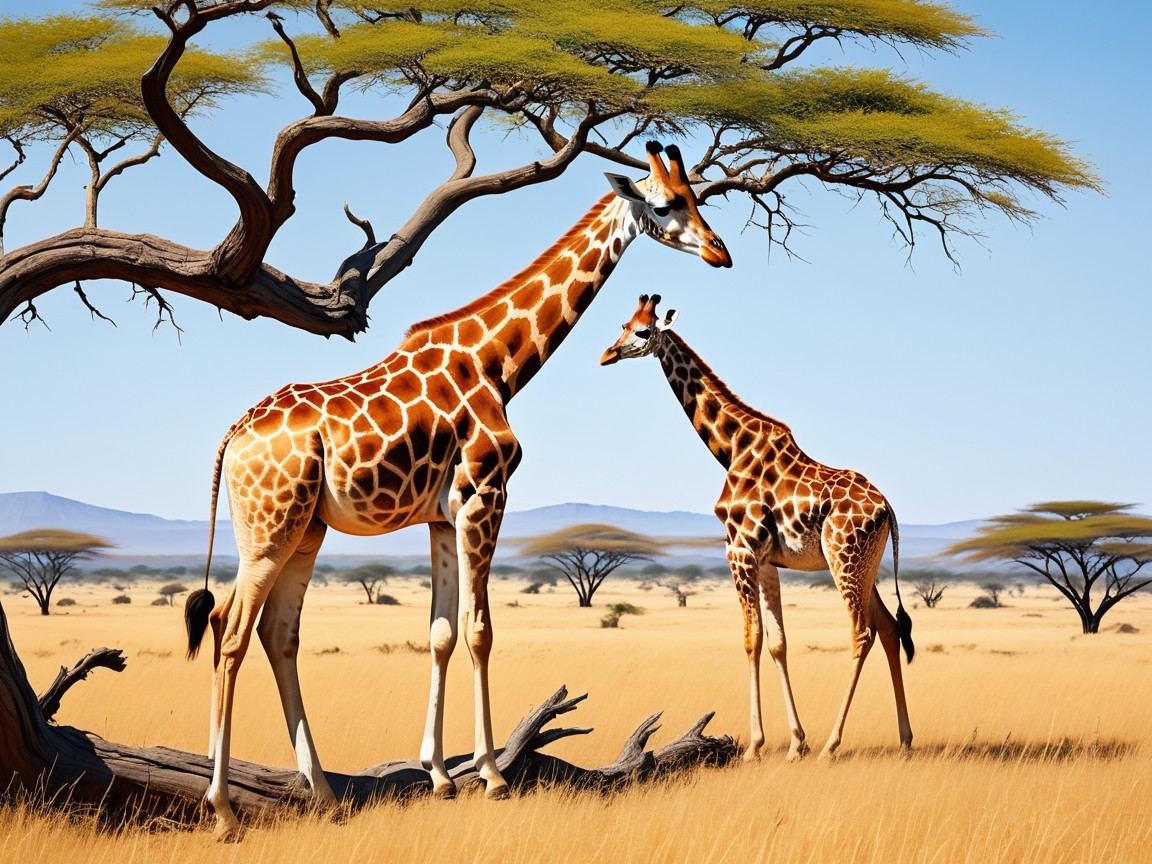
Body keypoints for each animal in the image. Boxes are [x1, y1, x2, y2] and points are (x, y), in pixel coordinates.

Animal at [183, 143, 731, 840]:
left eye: (699, 197)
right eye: (665, 204)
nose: (720, 251)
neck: (498, 362)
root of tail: (232, 435)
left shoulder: (444, 517)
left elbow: (441, 632)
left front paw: (441, 776)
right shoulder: (484, 494)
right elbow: (480, 630)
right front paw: (493, 776)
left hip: (304, 528)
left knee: (276, 634)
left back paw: (324, 793)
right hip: (268, 527)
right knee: (229, 633)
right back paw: (223, 809)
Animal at [600, 294, 913, 762]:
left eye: (643, 331)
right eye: (623, 324)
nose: (607, 354)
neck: (731, 449)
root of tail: (888, 509)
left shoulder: (739, 550)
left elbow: (751, 638)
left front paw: (755, 746)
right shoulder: (766, 561)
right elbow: (778, 641)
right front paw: (795, 743)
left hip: (844, 561)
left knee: (862, 632)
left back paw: (833, 744)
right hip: (865, 567)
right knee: (891, 628)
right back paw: (905, 739)